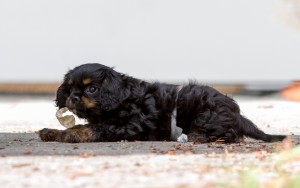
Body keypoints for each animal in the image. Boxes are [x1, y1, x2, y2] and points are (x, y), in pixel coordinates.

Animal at [38, 64, 288, 143]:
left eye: (92, 89)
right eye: (70, 88)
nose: (73, 98)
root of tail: (238, 115)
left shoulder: (128, 126)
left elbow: (91, 129)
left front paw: (71, 134)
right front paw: (52, 132)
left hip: (204, 109)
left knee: (230, 135)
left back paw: (198, 136)